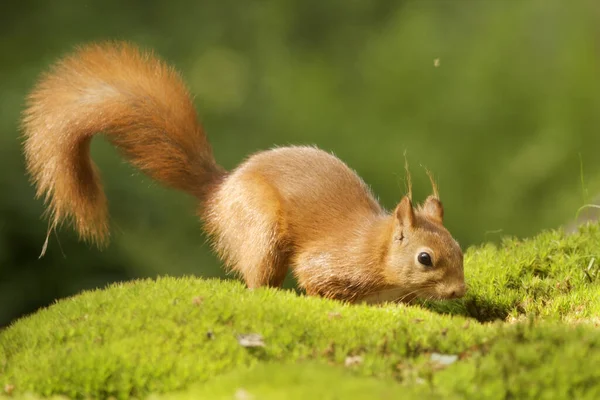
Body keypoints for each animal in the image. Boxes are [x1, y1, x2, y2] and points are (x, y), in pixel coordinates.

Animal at [21, 41, 466, 304]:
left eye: (460, 249)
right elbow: (315, 281)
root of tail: (220, 190)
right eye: (425, 259)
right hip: (261, 228)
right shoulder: (329, 262)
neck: (374, 248)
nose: (460, 291)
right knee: (256, 279)